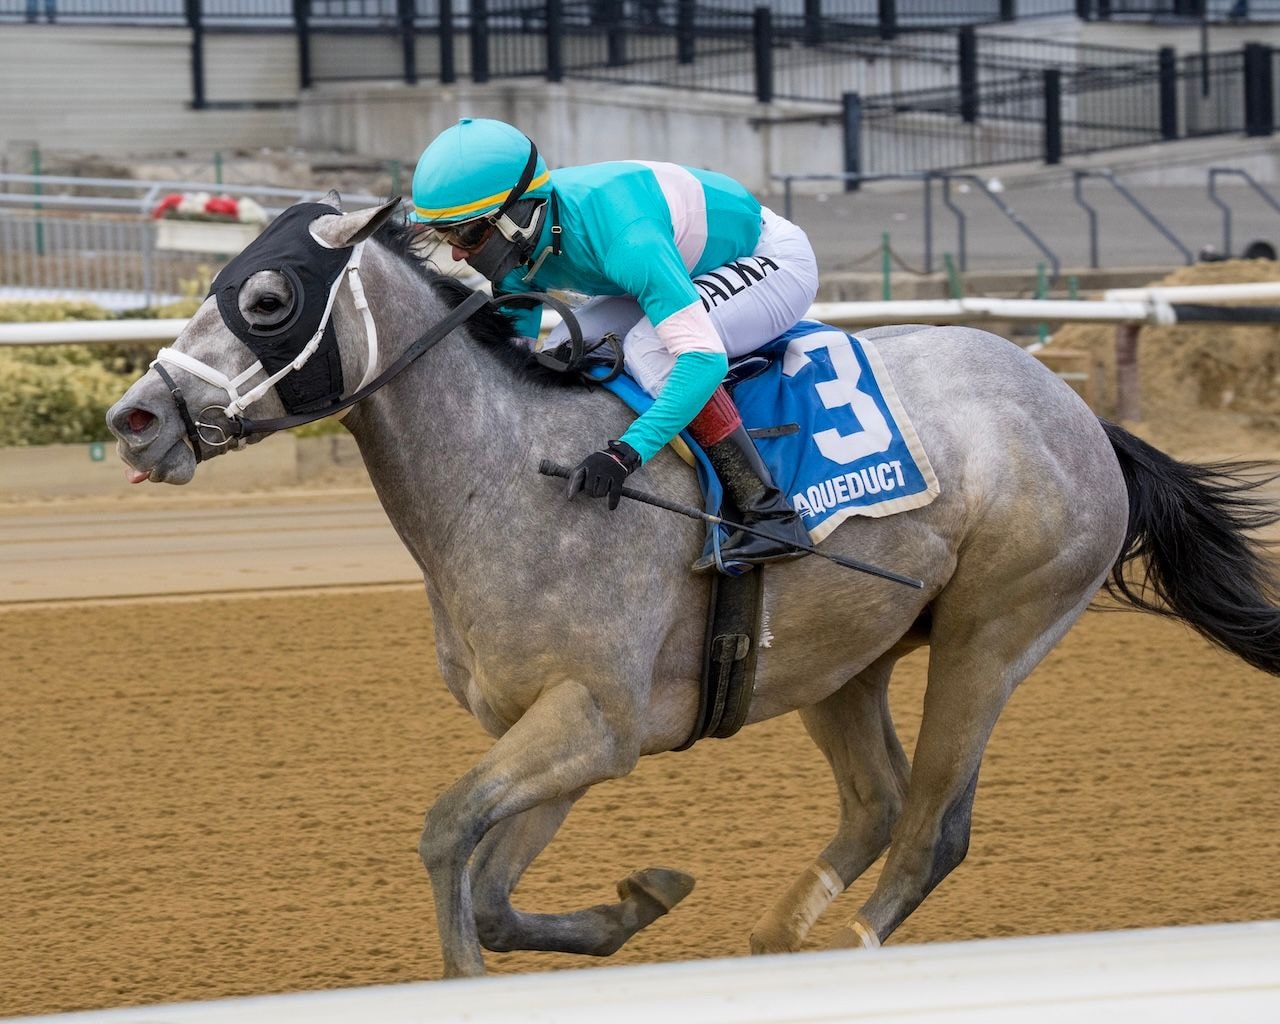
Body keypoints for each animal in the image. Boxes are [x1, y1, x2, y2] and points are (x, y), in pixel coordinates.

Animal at [106, 195, 1280, 978]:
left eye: (265, 296)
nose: (135, 417)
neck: (509, 471)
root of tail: (1078, 413)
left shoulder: (595, 719)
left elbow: (445, 834)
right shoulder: (564, 727)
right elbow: (491, 891)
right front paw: (639, 899)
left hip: (992, 635)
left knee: (932, 825)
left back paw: (848, 944)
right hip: (842, 658)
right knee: (877, 798)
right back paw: (776, 939)